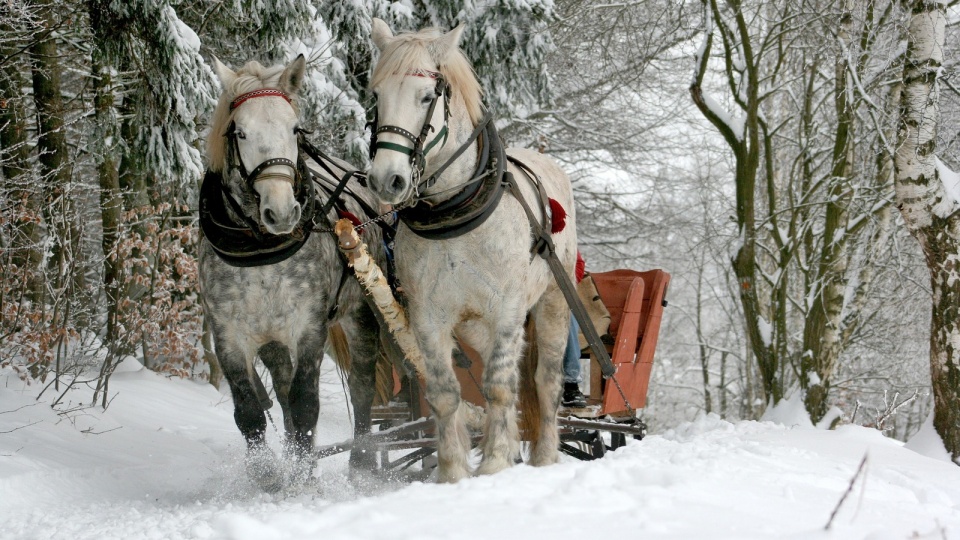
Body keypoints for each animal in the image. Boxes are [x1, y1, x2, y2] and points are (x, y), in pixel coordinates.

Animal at [366, 20, 576, 480]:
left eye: (427, 96)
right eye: (376, 96)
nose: (386, 180)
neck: (455, 213)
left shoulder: (508, 309)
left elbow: (498, 386)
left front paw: (495, 463)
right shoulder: (428, 316)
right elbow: (446, 392)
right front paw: (453, 472)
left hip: (552, 302)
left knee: (544, 380)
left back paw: (545, 455)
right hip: (476, 325)